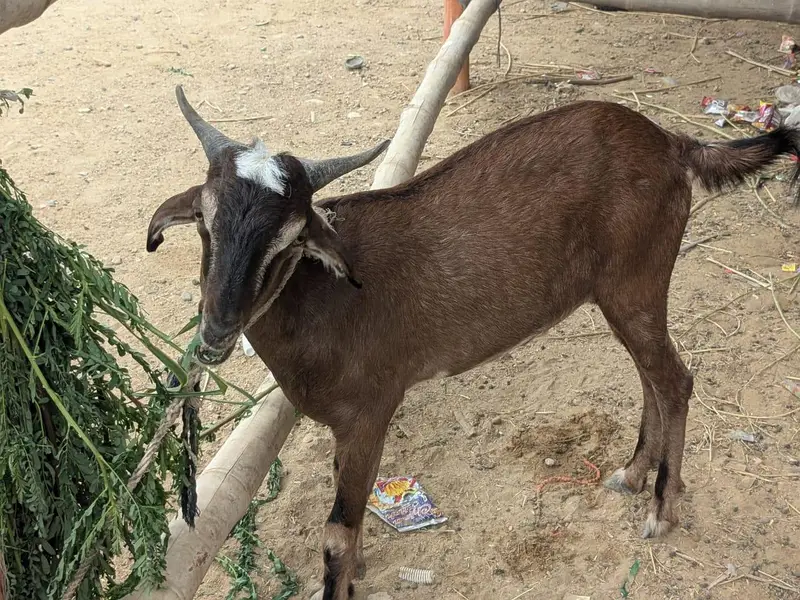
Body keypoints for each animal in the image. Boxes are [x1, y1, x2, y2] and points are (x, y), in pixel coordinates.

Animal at [147, 85, 800, 600]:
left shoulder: (369, 413)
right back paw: (634, 473)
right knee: (650, 377)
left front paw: (342, 579)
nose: (217, 329)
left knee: (674, 380)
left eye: (288, 240)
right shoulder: (347, 430)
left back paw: (662, 510)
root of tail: (670, 141)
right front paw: (358, 571)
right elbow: (350, 521)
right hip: (622, 294)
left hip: (635, 283)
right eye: (205, 221)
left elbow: (336, 532)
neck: (327, 302)